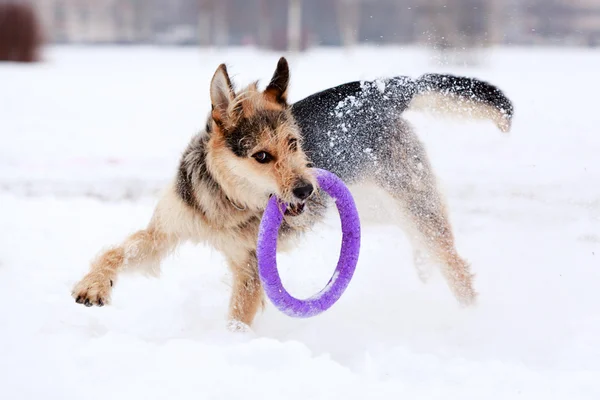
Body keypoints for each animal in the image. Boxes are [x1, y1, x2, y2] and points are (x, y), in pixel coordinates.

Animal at [70, 57, 510, 332]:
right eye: (262, 156)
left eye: (295, 144)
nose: (307, 188)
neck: (228, 203)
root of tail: (382, 91)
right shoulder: (165, 230)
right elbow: (120, 251)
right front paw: (92, 287)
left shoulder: (251, 269)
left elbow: (238, 315)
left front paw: (231, 345)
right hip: (376, 207)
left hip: (413, 205)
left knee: (455, 264)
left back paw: (471, 321)